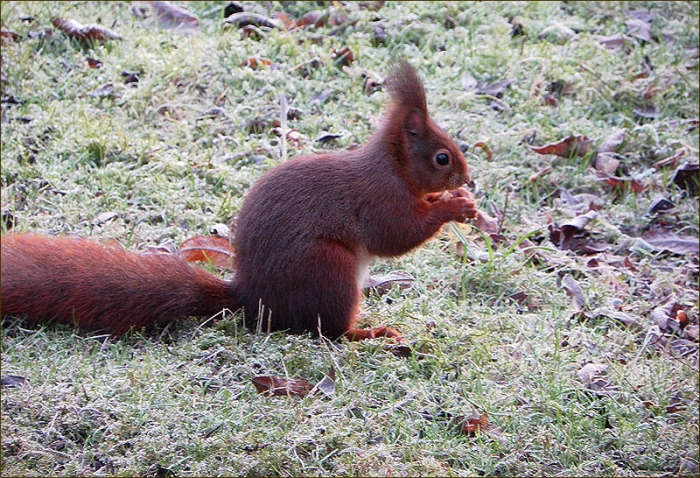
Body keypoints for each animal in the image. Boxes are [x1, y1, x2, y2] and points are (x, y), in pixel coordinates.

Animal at [1, 60, 477, 340]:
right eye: (441, 157)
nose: (468, 177)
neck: (393, 167)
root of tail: (254, 300)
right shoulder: (378, 198)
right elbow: (395, 235)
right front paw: (454, 206)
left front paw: (458, 198)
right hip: (327, 268)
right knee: (327, 331)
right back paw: (370, 334)